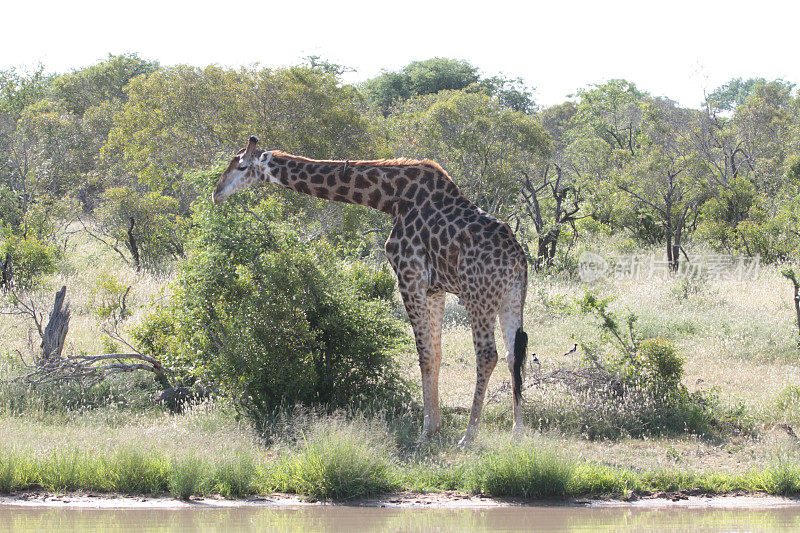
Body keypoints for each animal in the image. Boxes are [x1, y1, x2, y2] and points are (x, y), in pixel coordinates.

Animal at [212, 135, 532, 442]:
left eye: (241, 166)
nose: (217, 193)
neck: (390, 198)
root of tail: (518, 259)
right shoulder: (435, 288)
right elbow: (436, 353)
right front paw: (435, 426)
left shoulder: (409, 275)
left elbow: (423, 353)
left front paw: (426, 431)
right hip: (511, 298)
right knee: (513, 354)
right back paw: (517, 432)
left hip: (478, 296)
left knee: (488, 355)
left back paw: (468, 436)